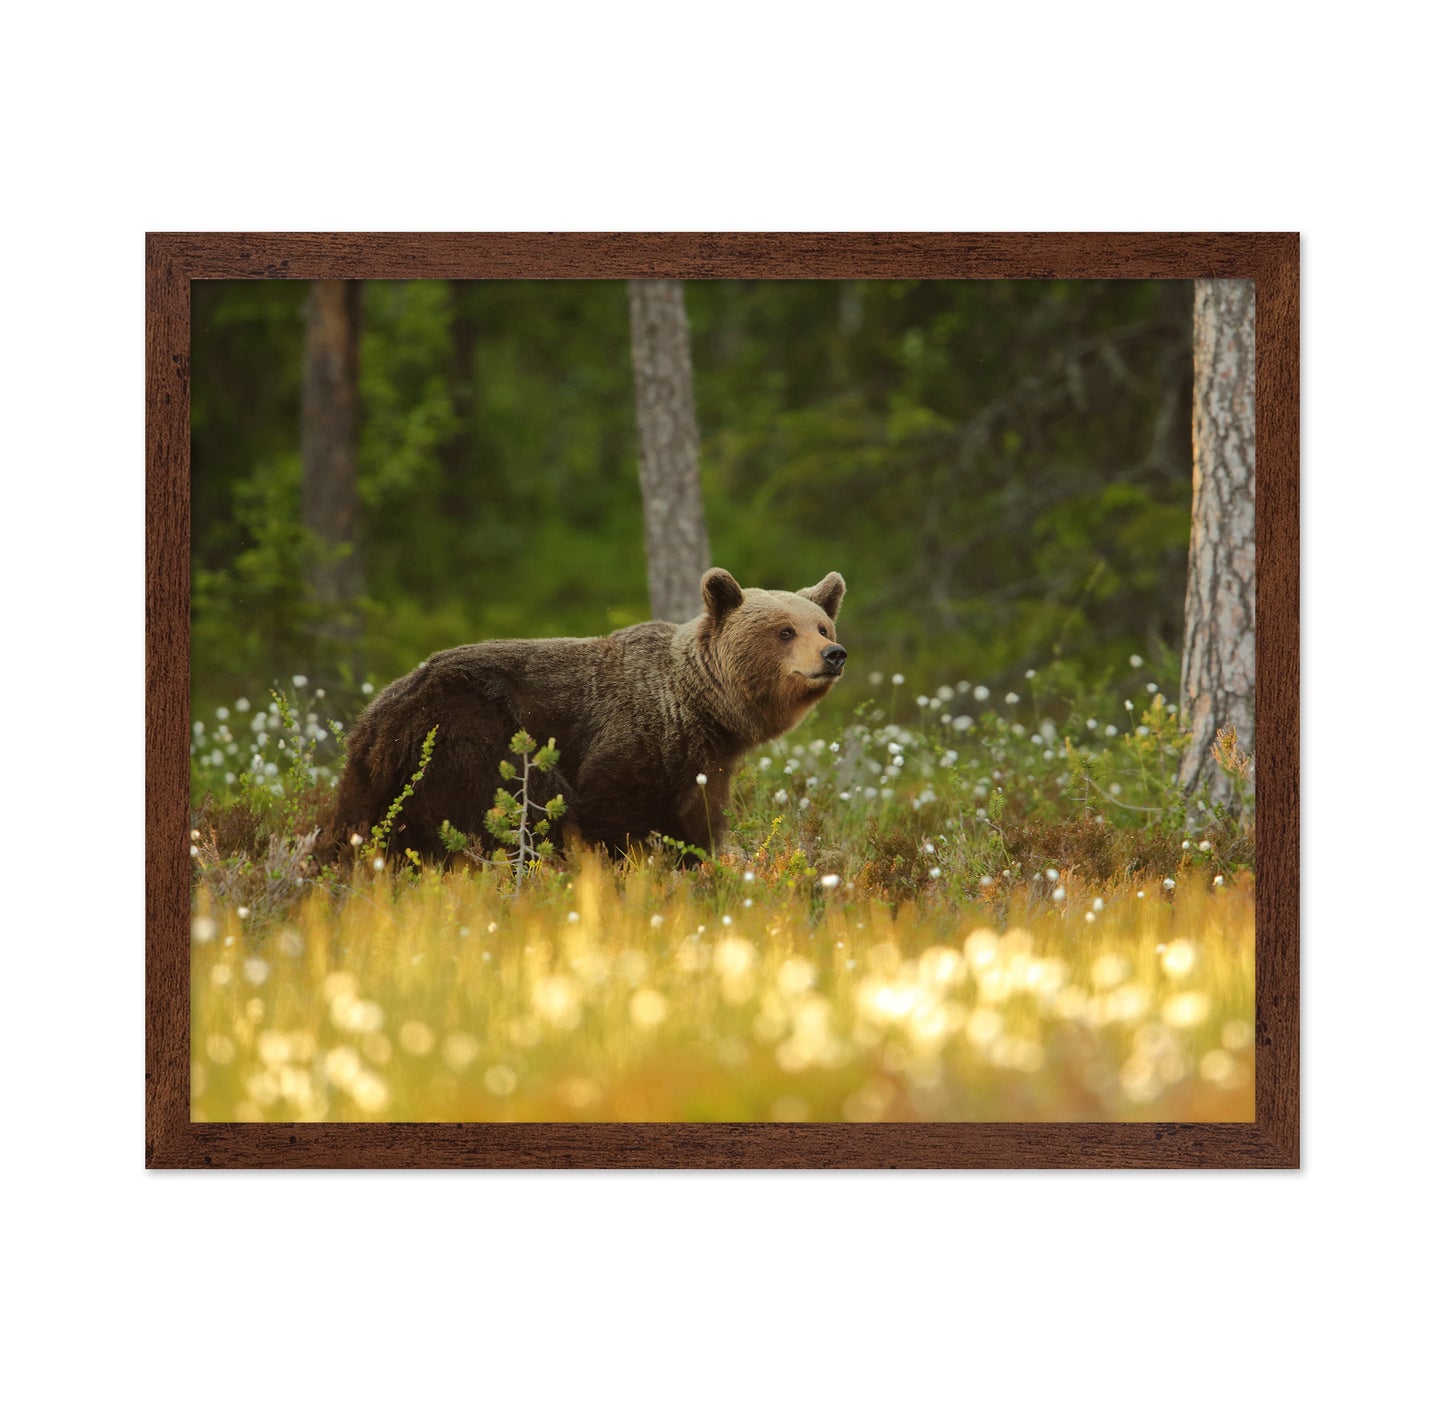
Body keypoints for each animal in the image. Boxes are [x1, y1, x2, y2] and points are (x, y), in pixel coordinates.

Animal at [331, 567, 847, 862]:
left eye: (822, 625)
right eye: (785, 631)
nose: (834, 654)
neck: (701, 710)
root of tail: (378, 714)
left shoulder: (703, 765)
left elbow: (696, 822)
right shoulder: (633, 739)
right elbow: (614, 814)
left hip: (379, 777)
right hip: (473, 733)